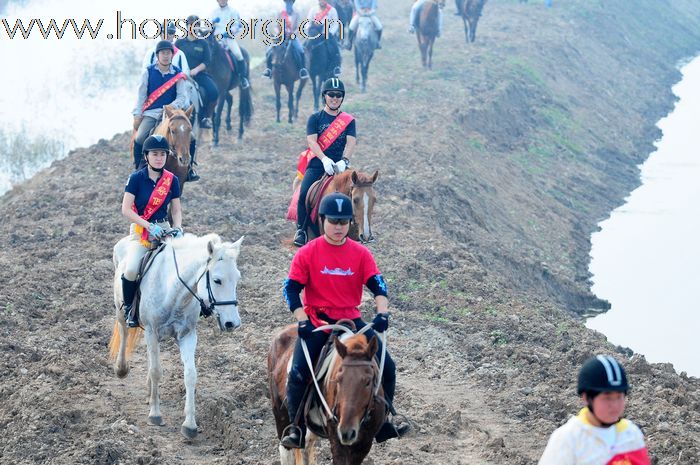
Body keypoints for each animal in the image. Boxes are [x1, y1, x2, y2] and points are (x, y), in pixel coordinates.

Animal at [107, 232, 243, 438]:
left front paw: (190, 424)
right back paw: (121, 369)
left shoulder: (187, 335)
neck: (174, 291)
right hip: (121, 311)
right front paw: (155, 414)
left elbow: (190, 375)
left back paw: (149, 392)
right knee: (124, 332)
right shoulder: (151, 330)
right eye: (217, 280)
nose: (232, 323)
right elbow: (156, 371)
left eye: (237, 278)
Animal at [270, 326, 386, 464]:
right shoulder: (337, 441)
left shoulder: (364, 444)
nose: (346, 431)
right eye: (338, 380)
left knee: (306, 447)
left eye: (368, 381)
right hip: (280, 413)